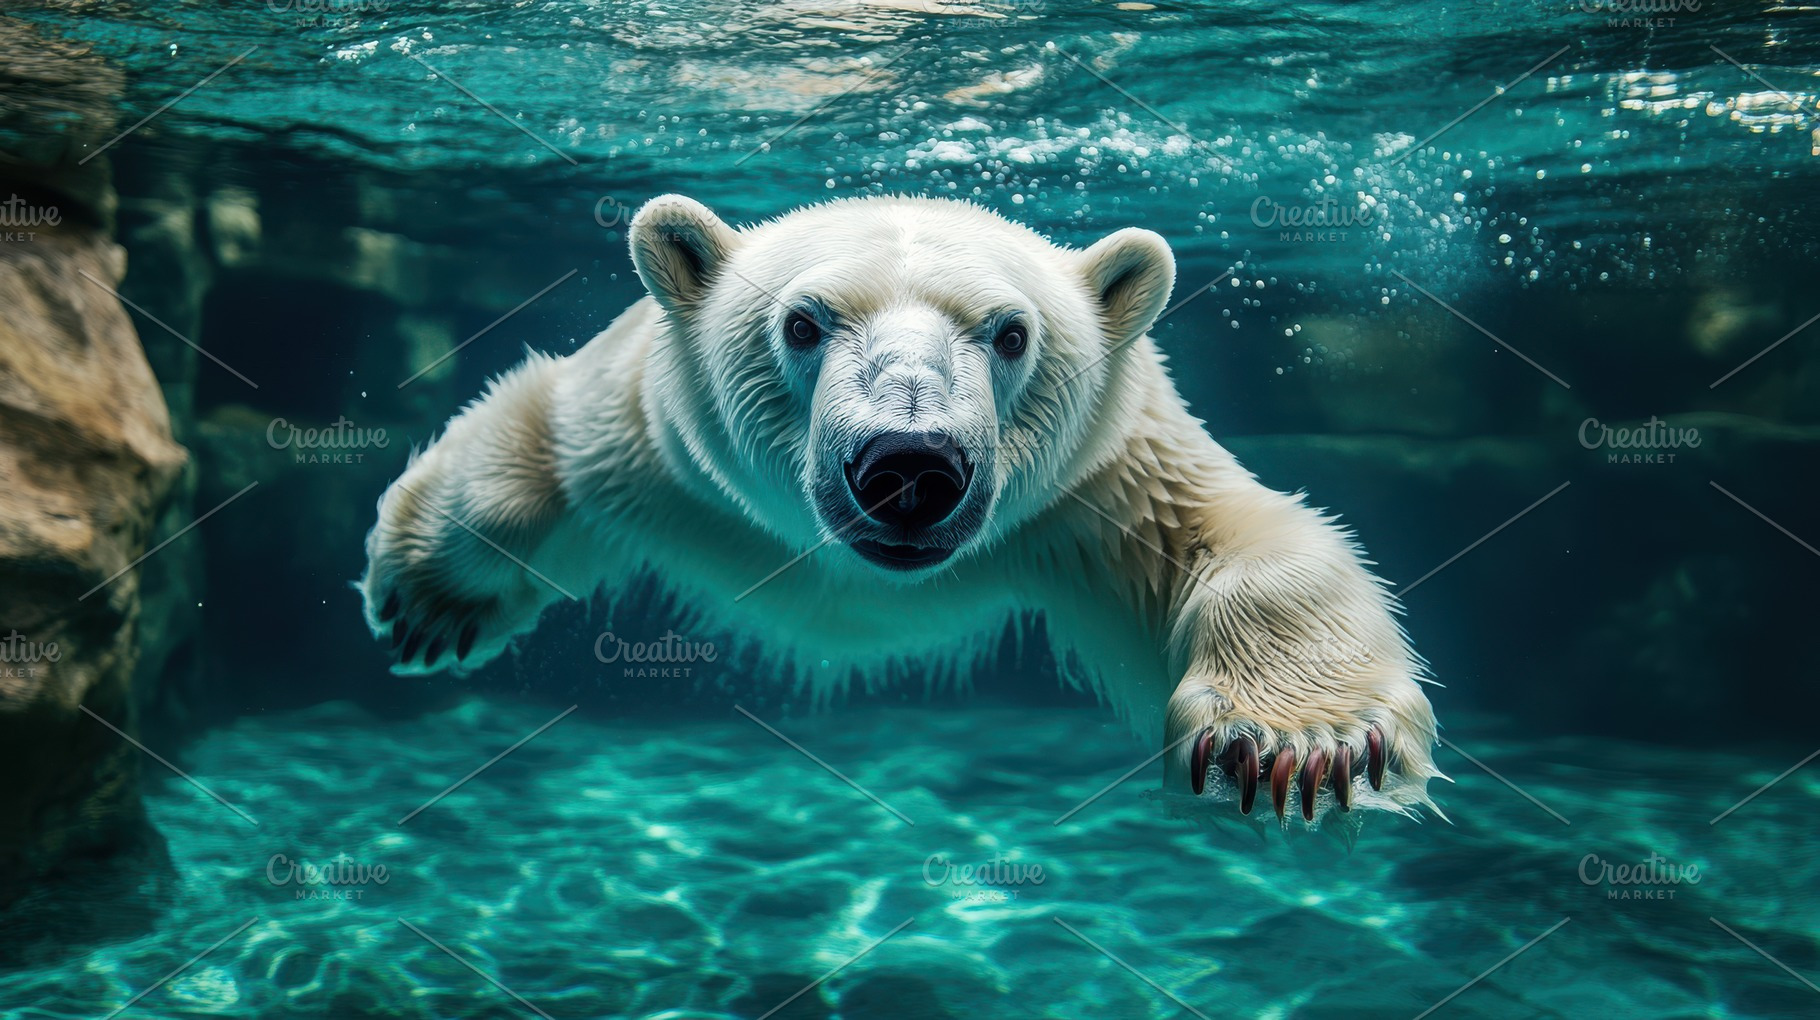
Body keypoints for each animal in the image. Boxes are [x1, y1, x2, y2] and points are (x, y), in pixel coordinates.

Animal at [359, 194, 1442, 824]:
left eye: (1009, 333)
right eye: (803, 323)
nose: (909, 467)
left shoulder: (1102, 486)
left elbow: (1243, 535)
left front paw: (1296, 743)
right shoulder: (659, 438)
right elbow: (544, 430)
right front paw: (425, 598)